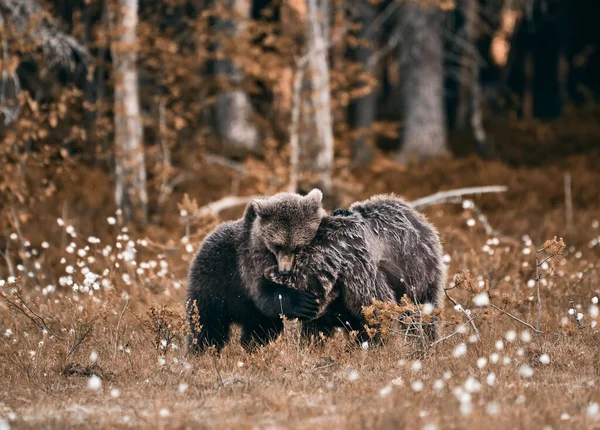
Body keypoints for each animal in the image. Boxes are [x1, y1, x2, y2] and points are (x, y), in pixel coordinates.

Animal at [188, 190, 328, 352]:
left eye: (298, 247)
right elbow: (264, 293)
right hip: (213, 285)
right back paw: (202, 350)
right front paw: (303, 302)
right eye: (277, 245)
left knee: (260, 328)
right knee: (207, 325)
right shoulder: (252, 260)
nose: (285, 271)